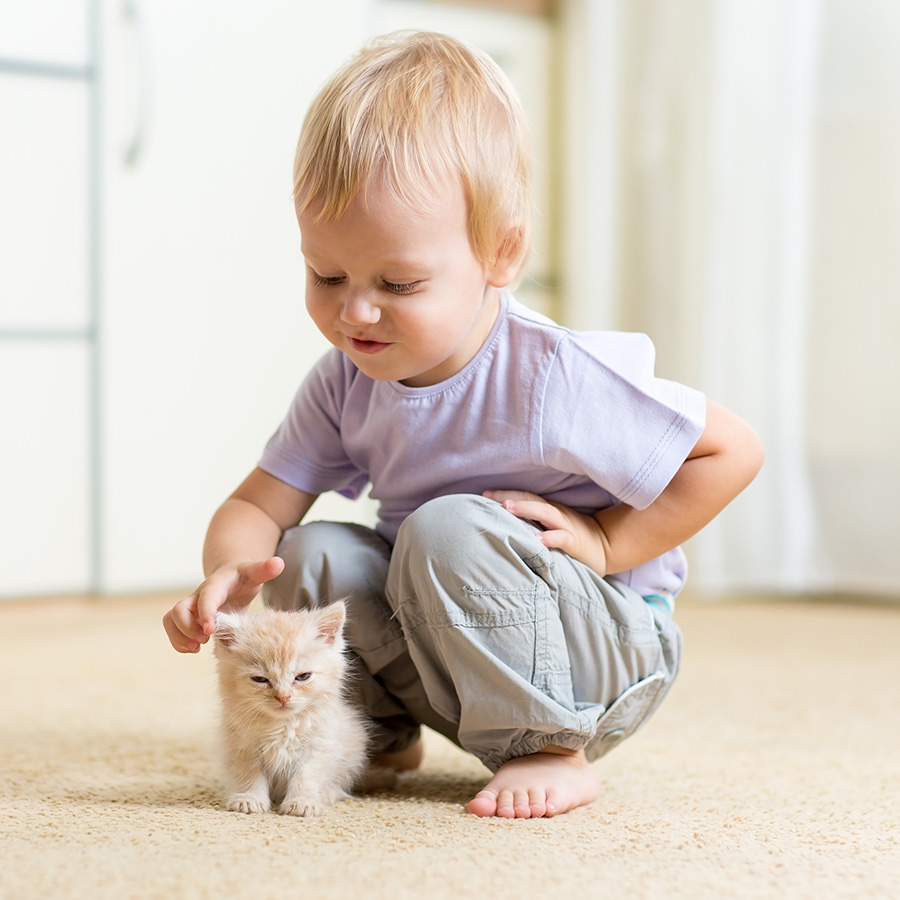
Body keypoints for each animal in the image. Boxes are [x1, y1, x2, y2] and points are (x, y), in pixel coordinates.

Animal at [214, 604, 370, 816]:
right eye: (260, 679)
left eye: (303, 676)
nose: (283, 697)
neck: (281, 724)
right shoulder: (242, 746)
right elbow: (249, 774)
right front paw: (249, 799)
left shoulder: (319, 744)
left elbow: (306, 776)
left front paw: (302, 802)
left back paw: (327, 793)